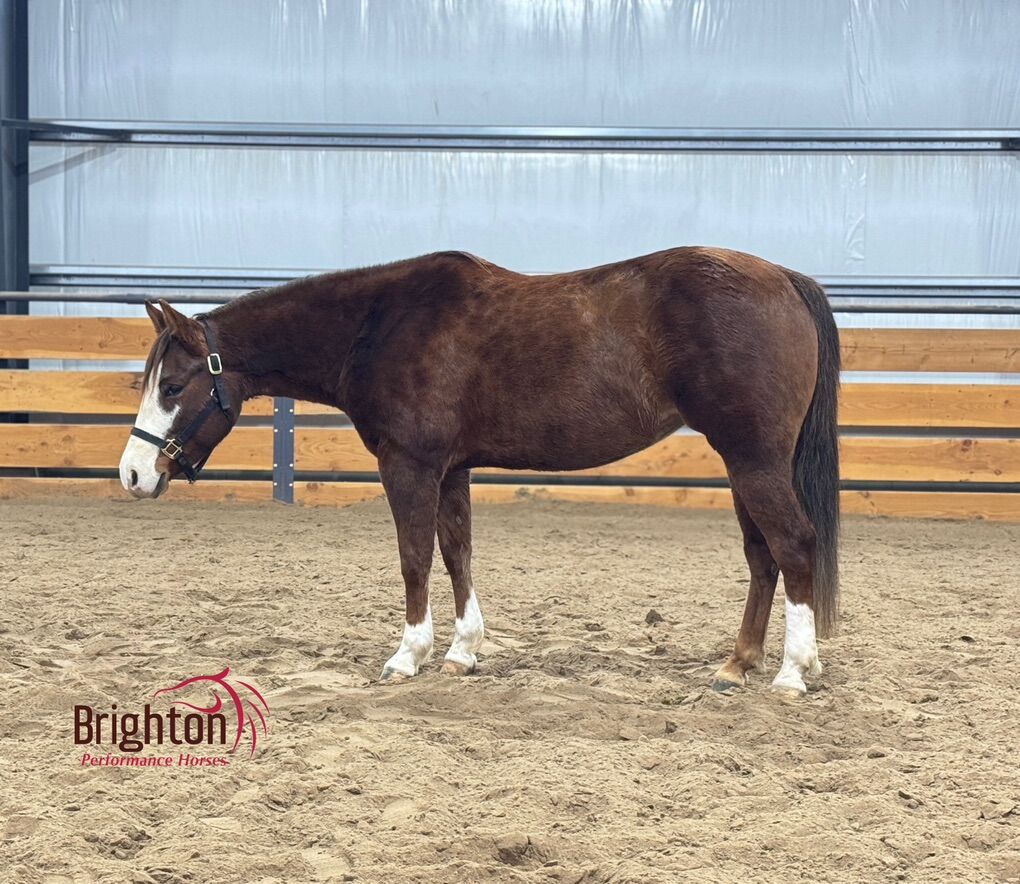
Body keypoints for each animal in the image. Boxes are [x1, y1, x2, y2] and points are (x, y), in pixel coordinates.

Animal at [119, 246, 840, 695]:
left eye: (174, 386)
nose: (131, 475)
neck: (377, 326)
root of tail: (784, 278)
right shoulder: (453, 467)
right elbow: (456, 550)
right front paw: (463, 651)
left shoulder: (408, 464)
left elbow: (414, 556)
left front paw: (407, 655)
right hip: (745, 460)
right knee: (762, 555)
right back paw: (737, 665)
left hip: (753, 457)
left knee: (794, 544)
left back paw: (791, 672)